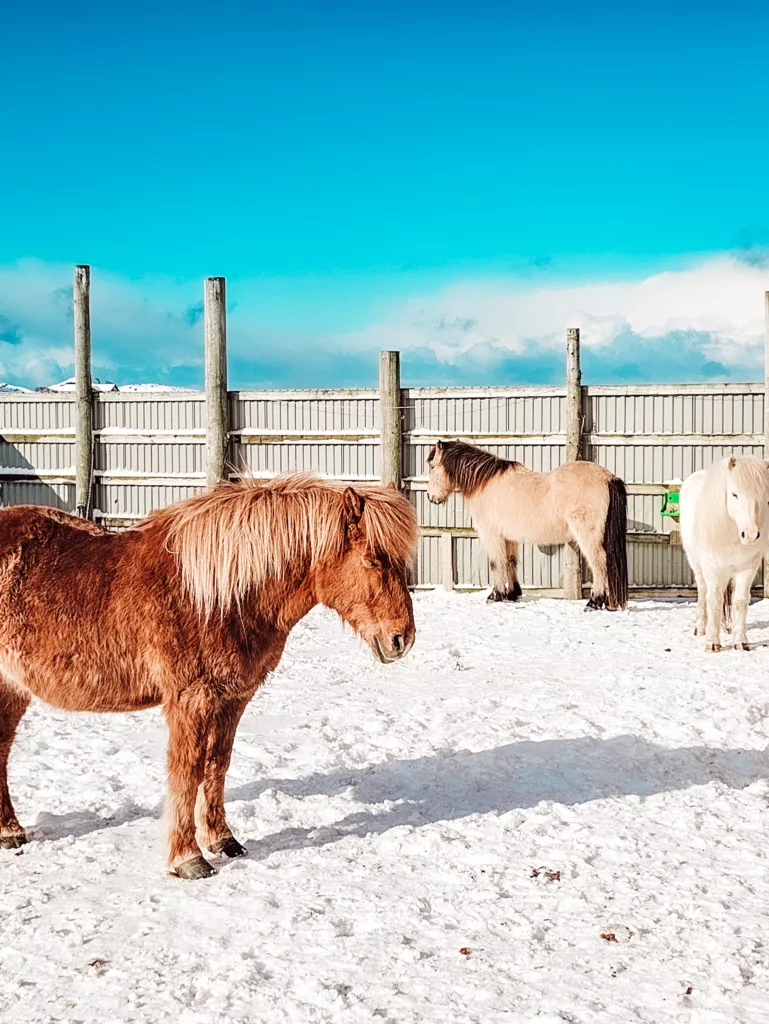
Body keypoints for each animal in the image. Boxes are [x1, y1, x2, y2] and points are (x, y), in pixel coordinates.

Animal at [0, 475, 415, 876]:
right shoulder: (190, 700)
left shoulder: (232, 698)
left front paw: (222, 840)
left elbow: (216, 765)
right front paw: (187, 858)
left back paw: (10, 831)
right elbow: (187, 772)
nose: (402, 638)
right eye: (373, 560)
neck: (217, 599)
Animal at [423, 438, 626, 606]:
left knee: (599, 563)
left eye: (432, 466)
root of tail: (608, 478)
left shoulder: (491, 535)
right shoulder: (509, 537)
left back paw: (594, 601)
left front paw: (495, 596)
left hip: (588, 537)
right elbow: (510, 562)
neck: (485, 483)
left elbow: (496, 563)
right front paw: (513, 594)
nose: (430, 497)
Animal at [679, 458, 769, 651]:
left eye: (764, 495)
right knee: (703, 591)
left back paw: (727, 627)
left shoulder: (747, 569)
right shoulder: (712, 568)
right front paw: (712, 643)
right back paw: (701, 628)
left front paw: (741, 641)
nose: (750, 535)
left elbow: (740, 601)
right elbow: (713, 599)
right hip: (697, 565)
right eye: (734, 494)